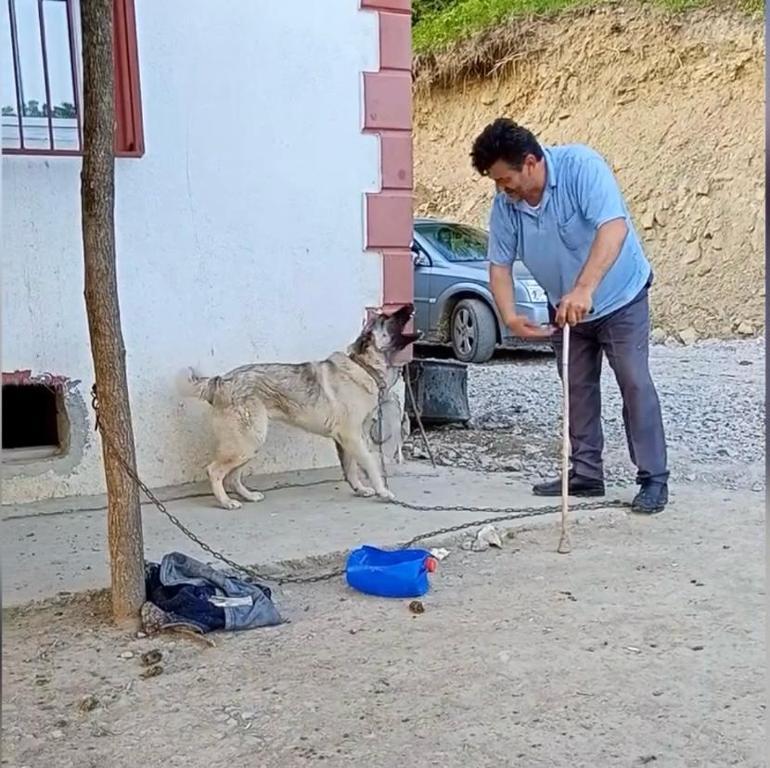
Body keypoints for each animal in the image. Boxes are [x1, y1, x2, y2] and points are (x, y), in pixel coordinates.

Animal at [177, 304, 420, 510]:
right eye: (386, 318)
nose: (410, 305)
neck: (363, 365)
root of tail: (220, 381)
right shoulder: (351, 436)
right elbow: (370, 464)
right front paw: (383, 491)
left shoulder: (348, 439)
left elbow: (351, 468)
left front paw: (359, 489)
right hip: (247, 442)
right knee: (215, 471)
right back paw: (226, 502)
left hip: (250, 443)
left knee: (233, 476)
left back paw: (247, 496)